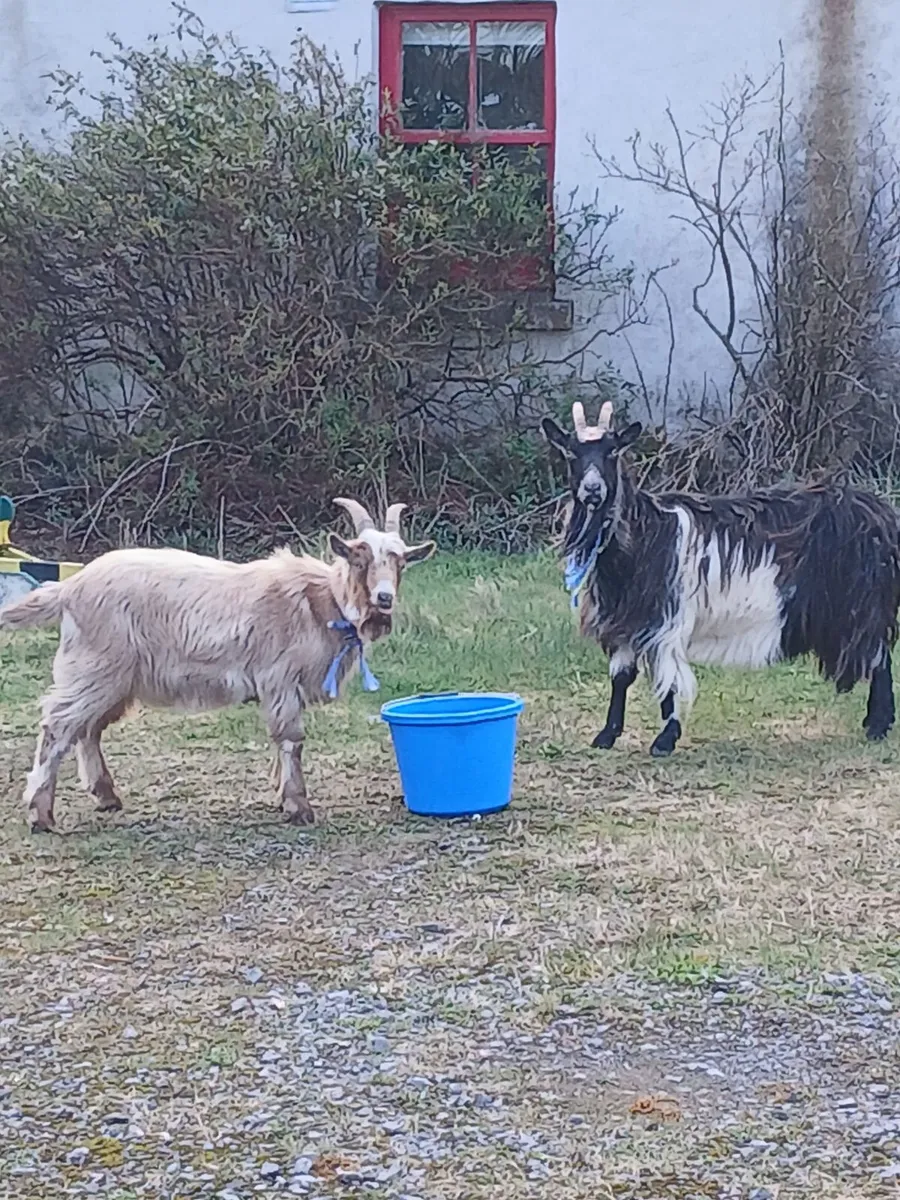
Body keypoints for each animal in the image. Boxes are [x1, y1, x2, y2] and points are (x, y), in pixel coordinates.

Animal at [0, 498, 435, 832]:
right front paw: (299, 807)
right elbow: (291, 740)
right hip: (95, 666)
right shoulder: (280, 678)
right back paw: (40, 814)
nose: (384, 599)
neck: (321, 600)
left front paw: (282, 795)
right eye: (360, 558)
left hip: (114, 676)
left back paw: (105, 796)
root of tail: (69, 587)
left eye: (400, 562)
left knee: (87, 729)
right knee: (58, 726)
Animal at [542, 402, 900, 756]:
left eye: (613, 452)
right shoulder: (626, 619)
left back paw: (878, 726)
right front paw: (606, 736)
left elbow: (669, 678)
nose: (593, 490)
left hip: (861, 605)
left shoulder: (666, 619)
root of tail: (883, 514)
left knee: (878, 657)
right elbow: (622, 677)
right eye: (571, 453)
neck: (645, 534)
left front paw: (665, 739)